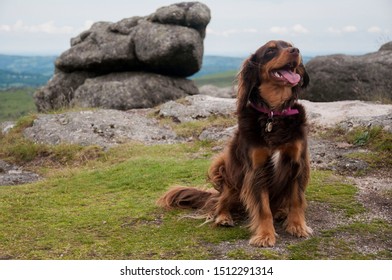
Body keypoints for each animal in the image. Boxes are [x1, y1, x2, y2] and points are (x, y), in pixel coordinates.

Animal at [157, 40, 312, 246]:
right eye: (270, 50)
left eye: (290, 45)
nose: (296, 51)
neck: (274, 113)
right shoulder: (256, 170)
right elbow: (263, 208)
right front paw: (265, 235)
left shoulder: (298, 163)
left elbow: (296, 200)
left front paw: (297, 226)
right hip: (226, 171)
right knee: (220, 203)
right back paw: (223, 217)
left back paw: (280, 212)